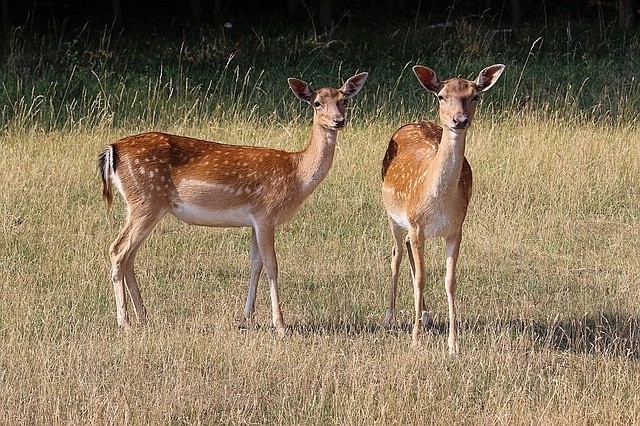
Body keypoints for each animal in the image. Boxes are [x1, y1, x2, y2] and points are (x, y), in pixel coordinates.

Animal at [97, 72, 368, 332]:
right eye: (316, 103)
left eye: (344, 100)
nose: (339, 120)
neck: (296, 175)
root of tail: (112, 150)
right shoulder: (266, 212)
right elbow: (272, 265)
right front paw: (280, 324)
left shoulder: (254, 220)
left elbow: (255, 264)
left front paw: (247, 318)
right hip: (146, 200)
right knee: (117, 250)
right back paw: (125, 322)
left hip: (143, 204)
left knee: (130, 255)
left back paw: (144, 317)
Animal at [380, 63, 504, 354]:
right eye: (441, 96)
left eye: (475, 96)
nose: (459, 120)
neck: (438, 202)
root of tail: (413, 122)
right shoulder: (416, 224)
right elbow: (421, 279)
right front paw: (415, 341)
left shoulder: (456, 228)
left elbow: (450, 280)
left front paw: (453, 344)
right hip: (393, 215)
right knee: (397, 253)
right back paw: (390, 317)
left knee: (408, 253)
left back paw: (425, 315)